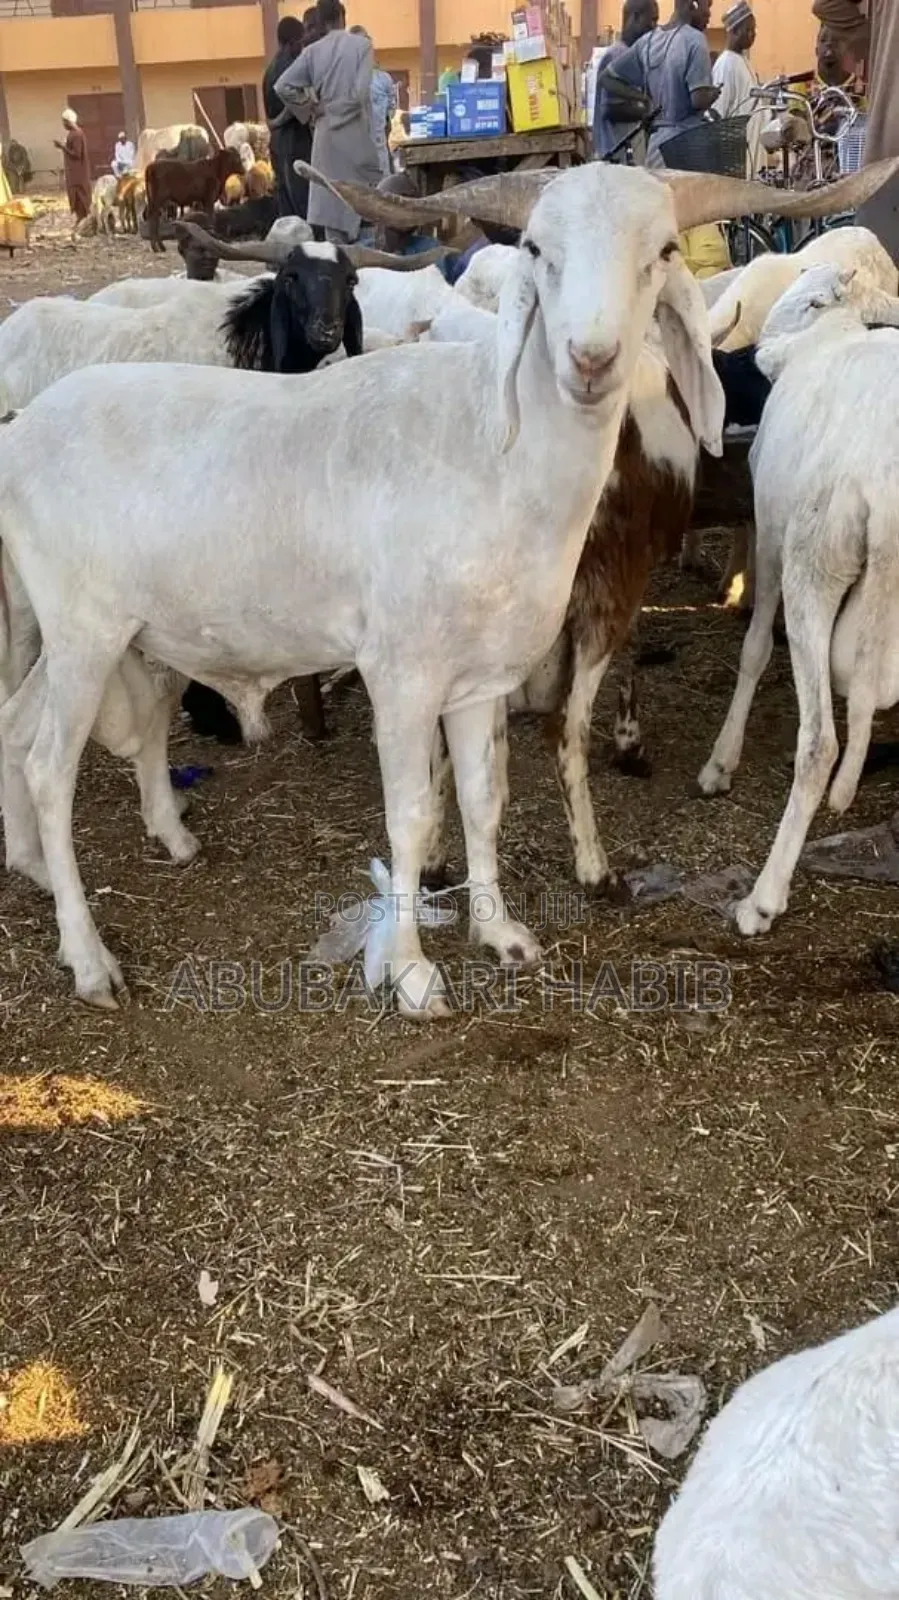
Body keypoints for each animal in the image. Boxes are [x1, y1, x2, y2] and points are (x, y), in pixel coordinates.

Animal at [697, 261, 899, 936]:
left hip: (813, 564)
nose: (760, 353)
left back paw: (763, 897)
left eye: (807, 293)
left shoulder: (770, 533)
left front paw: (721, 762)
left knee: (819, 745)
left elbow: (756, 646)